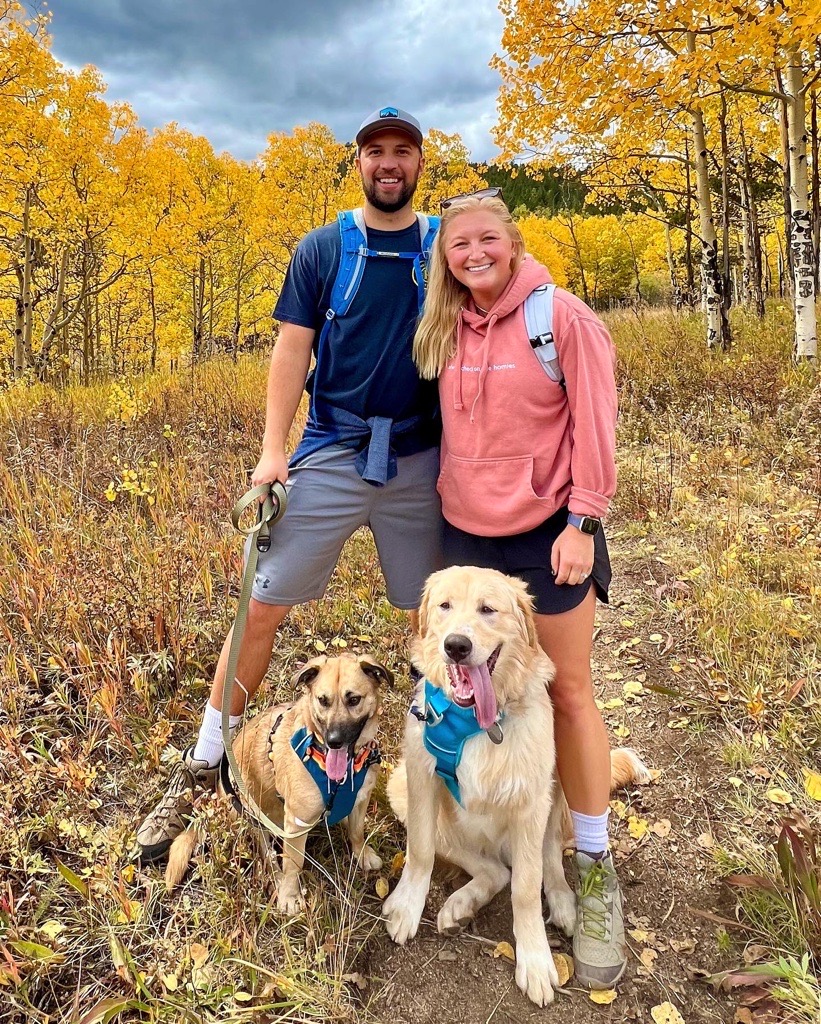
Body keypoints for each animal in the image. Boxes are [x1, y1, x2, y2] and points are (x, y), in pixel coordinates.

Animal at [165, 655, 386, 913]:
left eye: (354, 700)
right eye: (322, 700)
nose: (334, 741)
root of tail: (218, 797)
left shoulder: (361, 800)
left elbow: (357, 831)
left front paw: (361, 853)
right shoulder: (297, 823)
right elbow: (293, 864)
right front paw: (290, 895)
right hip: (253, 816)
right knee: (268, 856)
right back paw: (277, 880)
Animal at [382, 569, 646, 1007]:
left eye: (488, 609)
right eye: (445, 606)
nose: (456, 646)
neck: (476, 722)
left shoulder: (530, 803)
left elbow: (525, 888)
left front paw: (536, 960)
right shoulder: (420, 776)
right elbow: (420, 851)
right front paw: (406, 906)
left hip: (554, 789)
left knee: (546, 858)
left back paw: (563, 902)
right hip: (400, 788)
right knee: (492, 869)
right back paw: (461, 904)